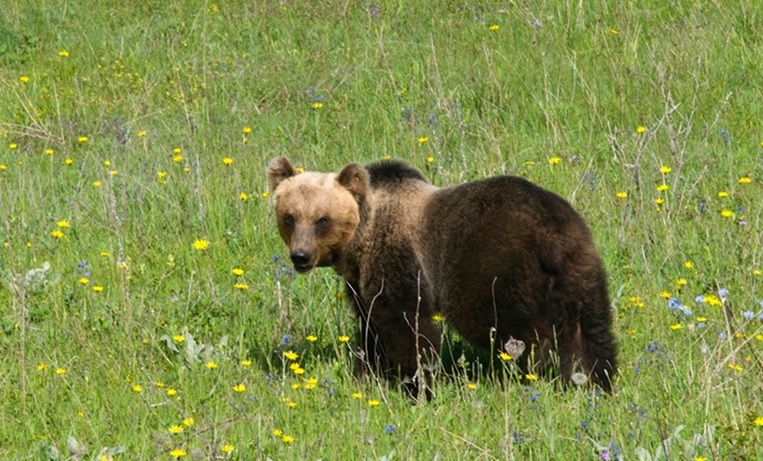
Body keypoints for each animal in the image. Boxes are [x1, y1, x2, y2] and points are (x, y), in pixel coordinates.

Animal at [268, 157, 616, 396]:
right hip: (579, 266)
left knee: (516, 327)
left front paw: (416, 384)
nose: (300, 256)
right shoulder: (361, 284)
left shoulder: (399, 260)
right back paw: (595, 379)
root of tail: (552, 233)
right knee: (590, 329)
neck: (361, 239)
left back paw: (536, 370)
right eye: (290, 217)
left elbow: (407, 325)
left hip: (492, 268)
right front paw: (366, 375)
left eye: (322, 219)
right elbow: (369, 329)